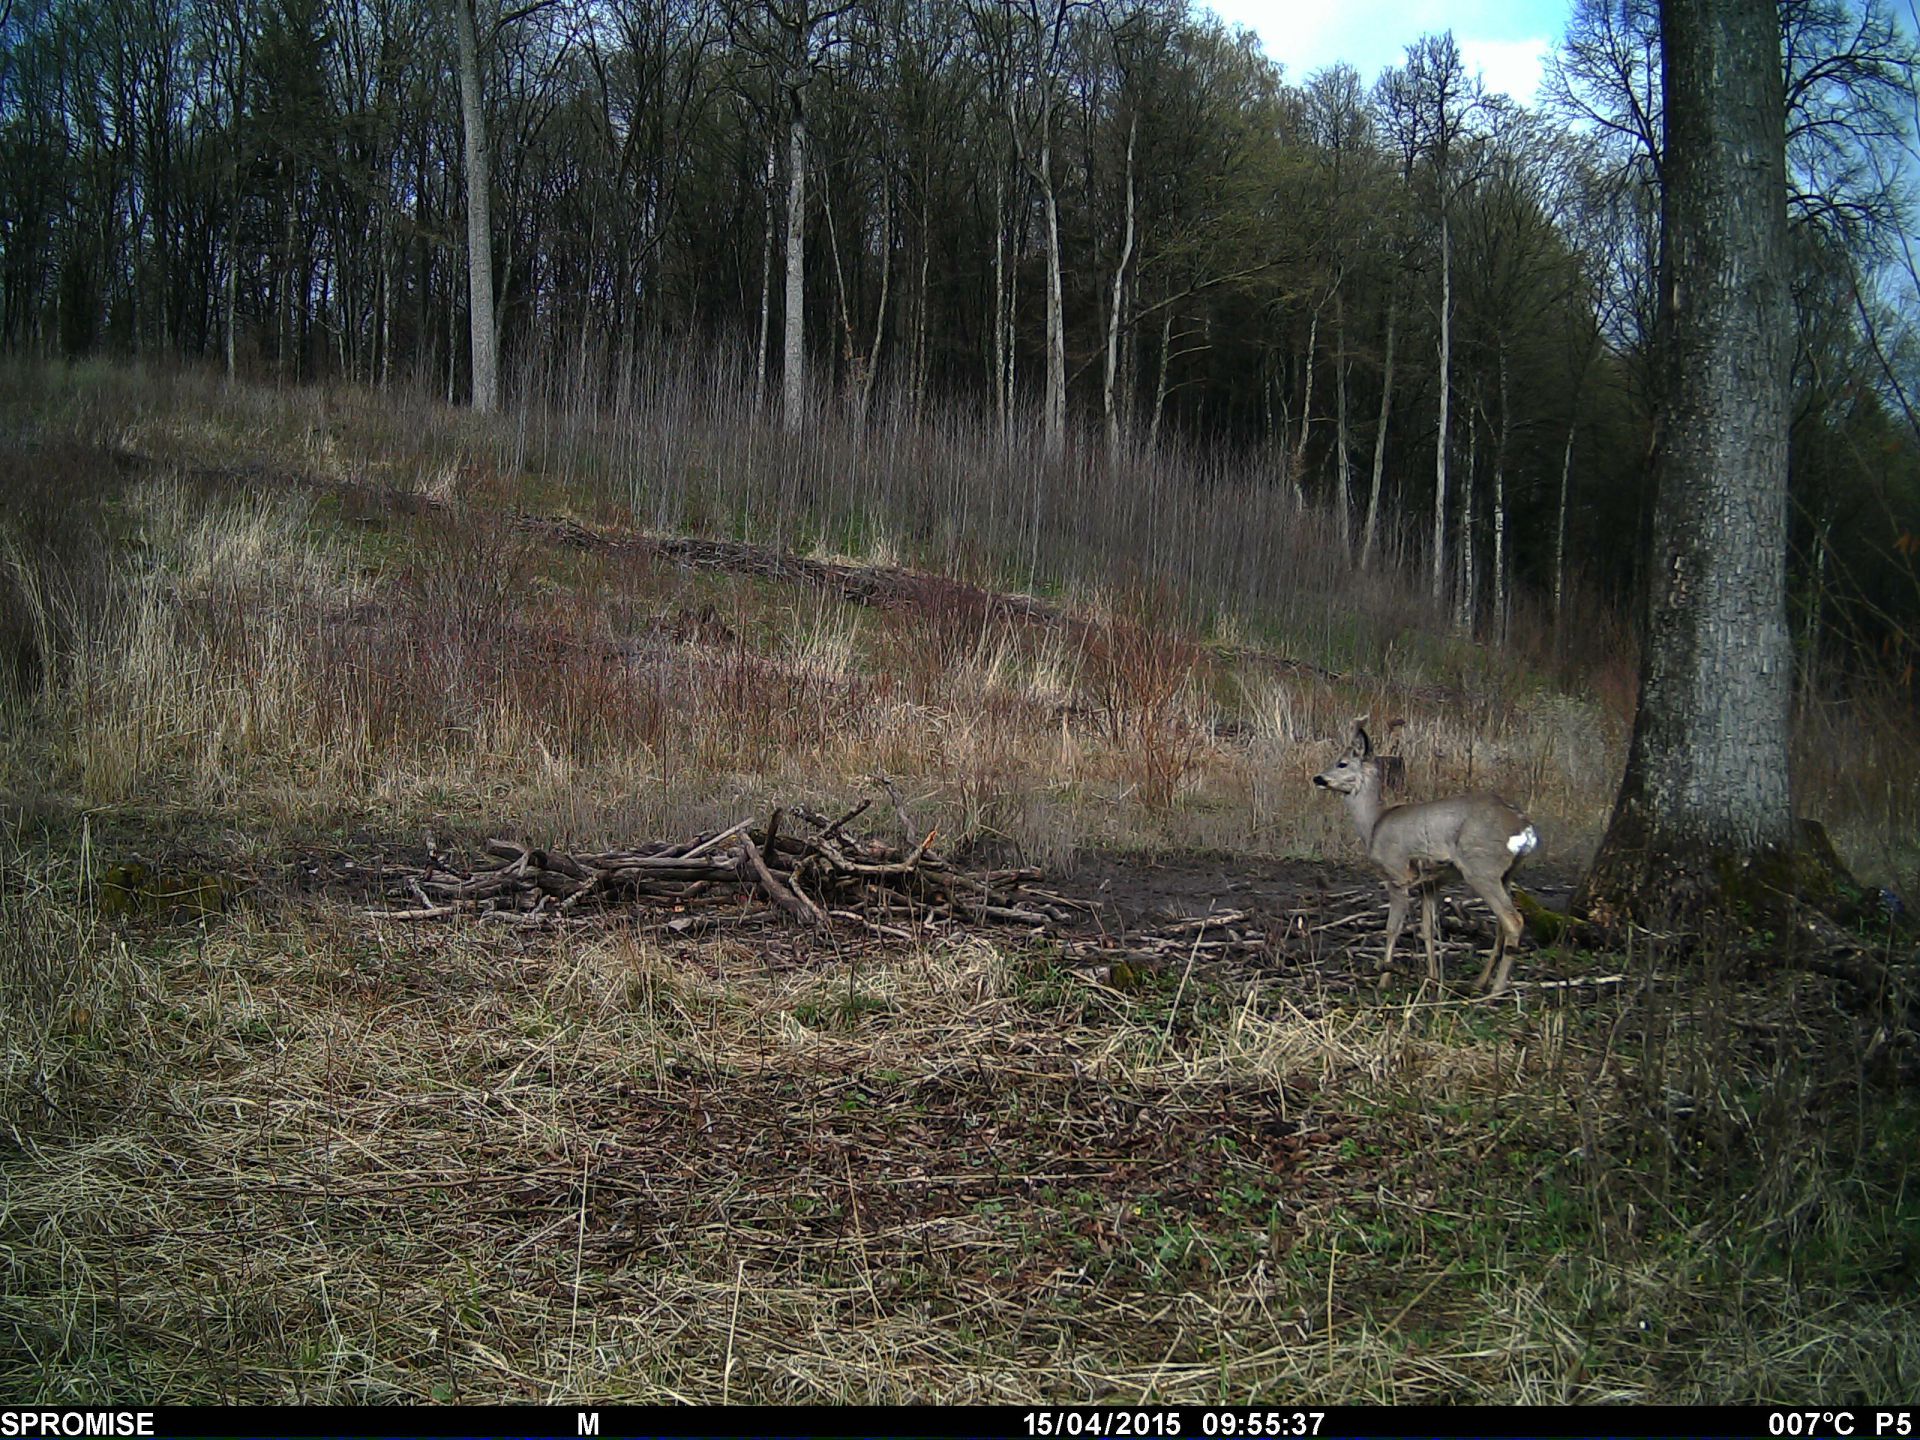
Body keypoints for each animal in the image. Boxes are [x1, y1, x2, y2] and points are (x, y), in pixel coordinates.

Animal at [1312, 722, 1538, 995]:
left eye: (1342, 763)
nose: (1318, 778)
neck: (1374, 825)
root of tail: (1525, 828)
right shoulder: (1430, 884)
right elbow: (1428, 929)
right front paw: (1432, 979)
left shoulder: (1397, 874)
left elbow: (1392, 928)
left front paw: (1384, 979)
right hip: (1507, 874)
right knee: (1500, 925)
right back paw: (1479, 983)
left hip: (1481, 869)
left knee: (1513, 920)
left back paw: (1494, 992)